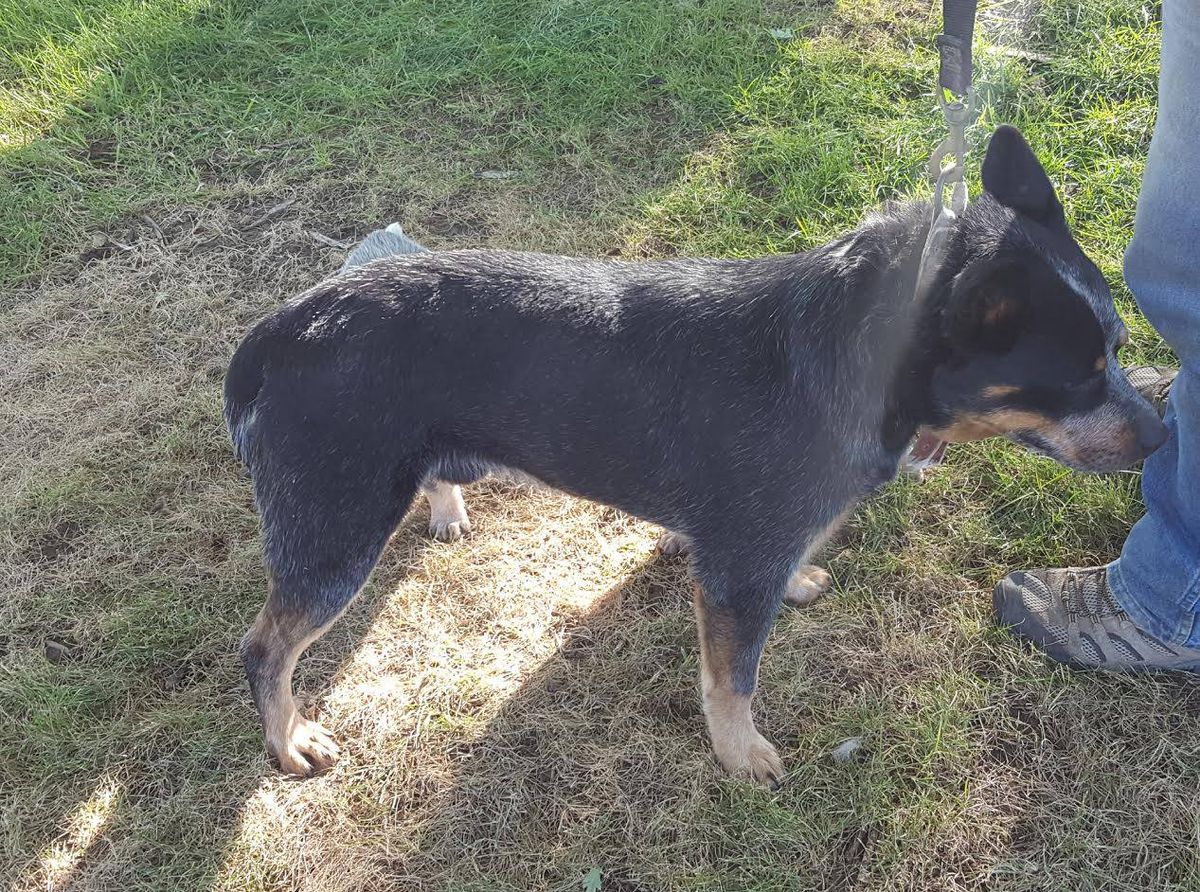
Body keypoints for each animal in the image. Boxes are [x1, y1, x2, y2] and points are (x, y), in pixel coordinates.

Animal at [223, 125, 1161, 782]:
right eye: (1077, 379)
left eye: (1117, 348)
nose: (1161, 436)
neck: (853, 358)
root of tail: (286, 326)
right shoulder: (738, 570)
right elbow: (733, 679)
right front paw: (741, 756)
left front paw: (803, 584)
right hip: (334, 534)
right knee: (267, 649)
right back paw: (288, 741)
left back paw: (449, 506)